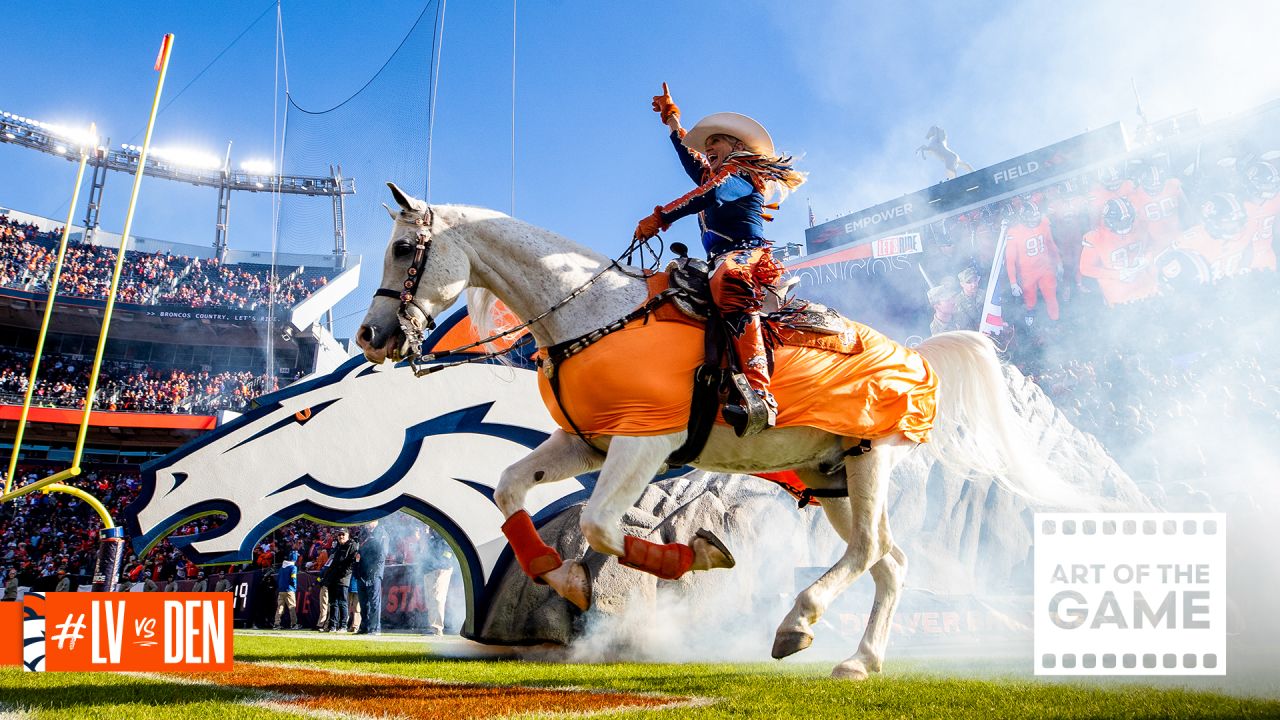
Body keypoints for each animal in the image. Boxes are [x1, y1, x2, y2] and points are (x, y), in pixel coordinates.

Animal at [360, 181, 1070, 676]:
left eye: (403, 248)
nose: (371, 336)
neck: (595, 315)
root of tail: (915, 357)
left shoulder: (644, 444)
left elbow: (599, 524)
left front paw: (698, 555)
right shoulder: (583, 443)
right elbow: (510, 489)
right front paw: (564, 579)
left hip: (869, 460)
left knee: (869, 551)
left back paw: (798, 623)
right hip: (830, 478)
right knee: (889, 563)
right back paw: (859, 660)